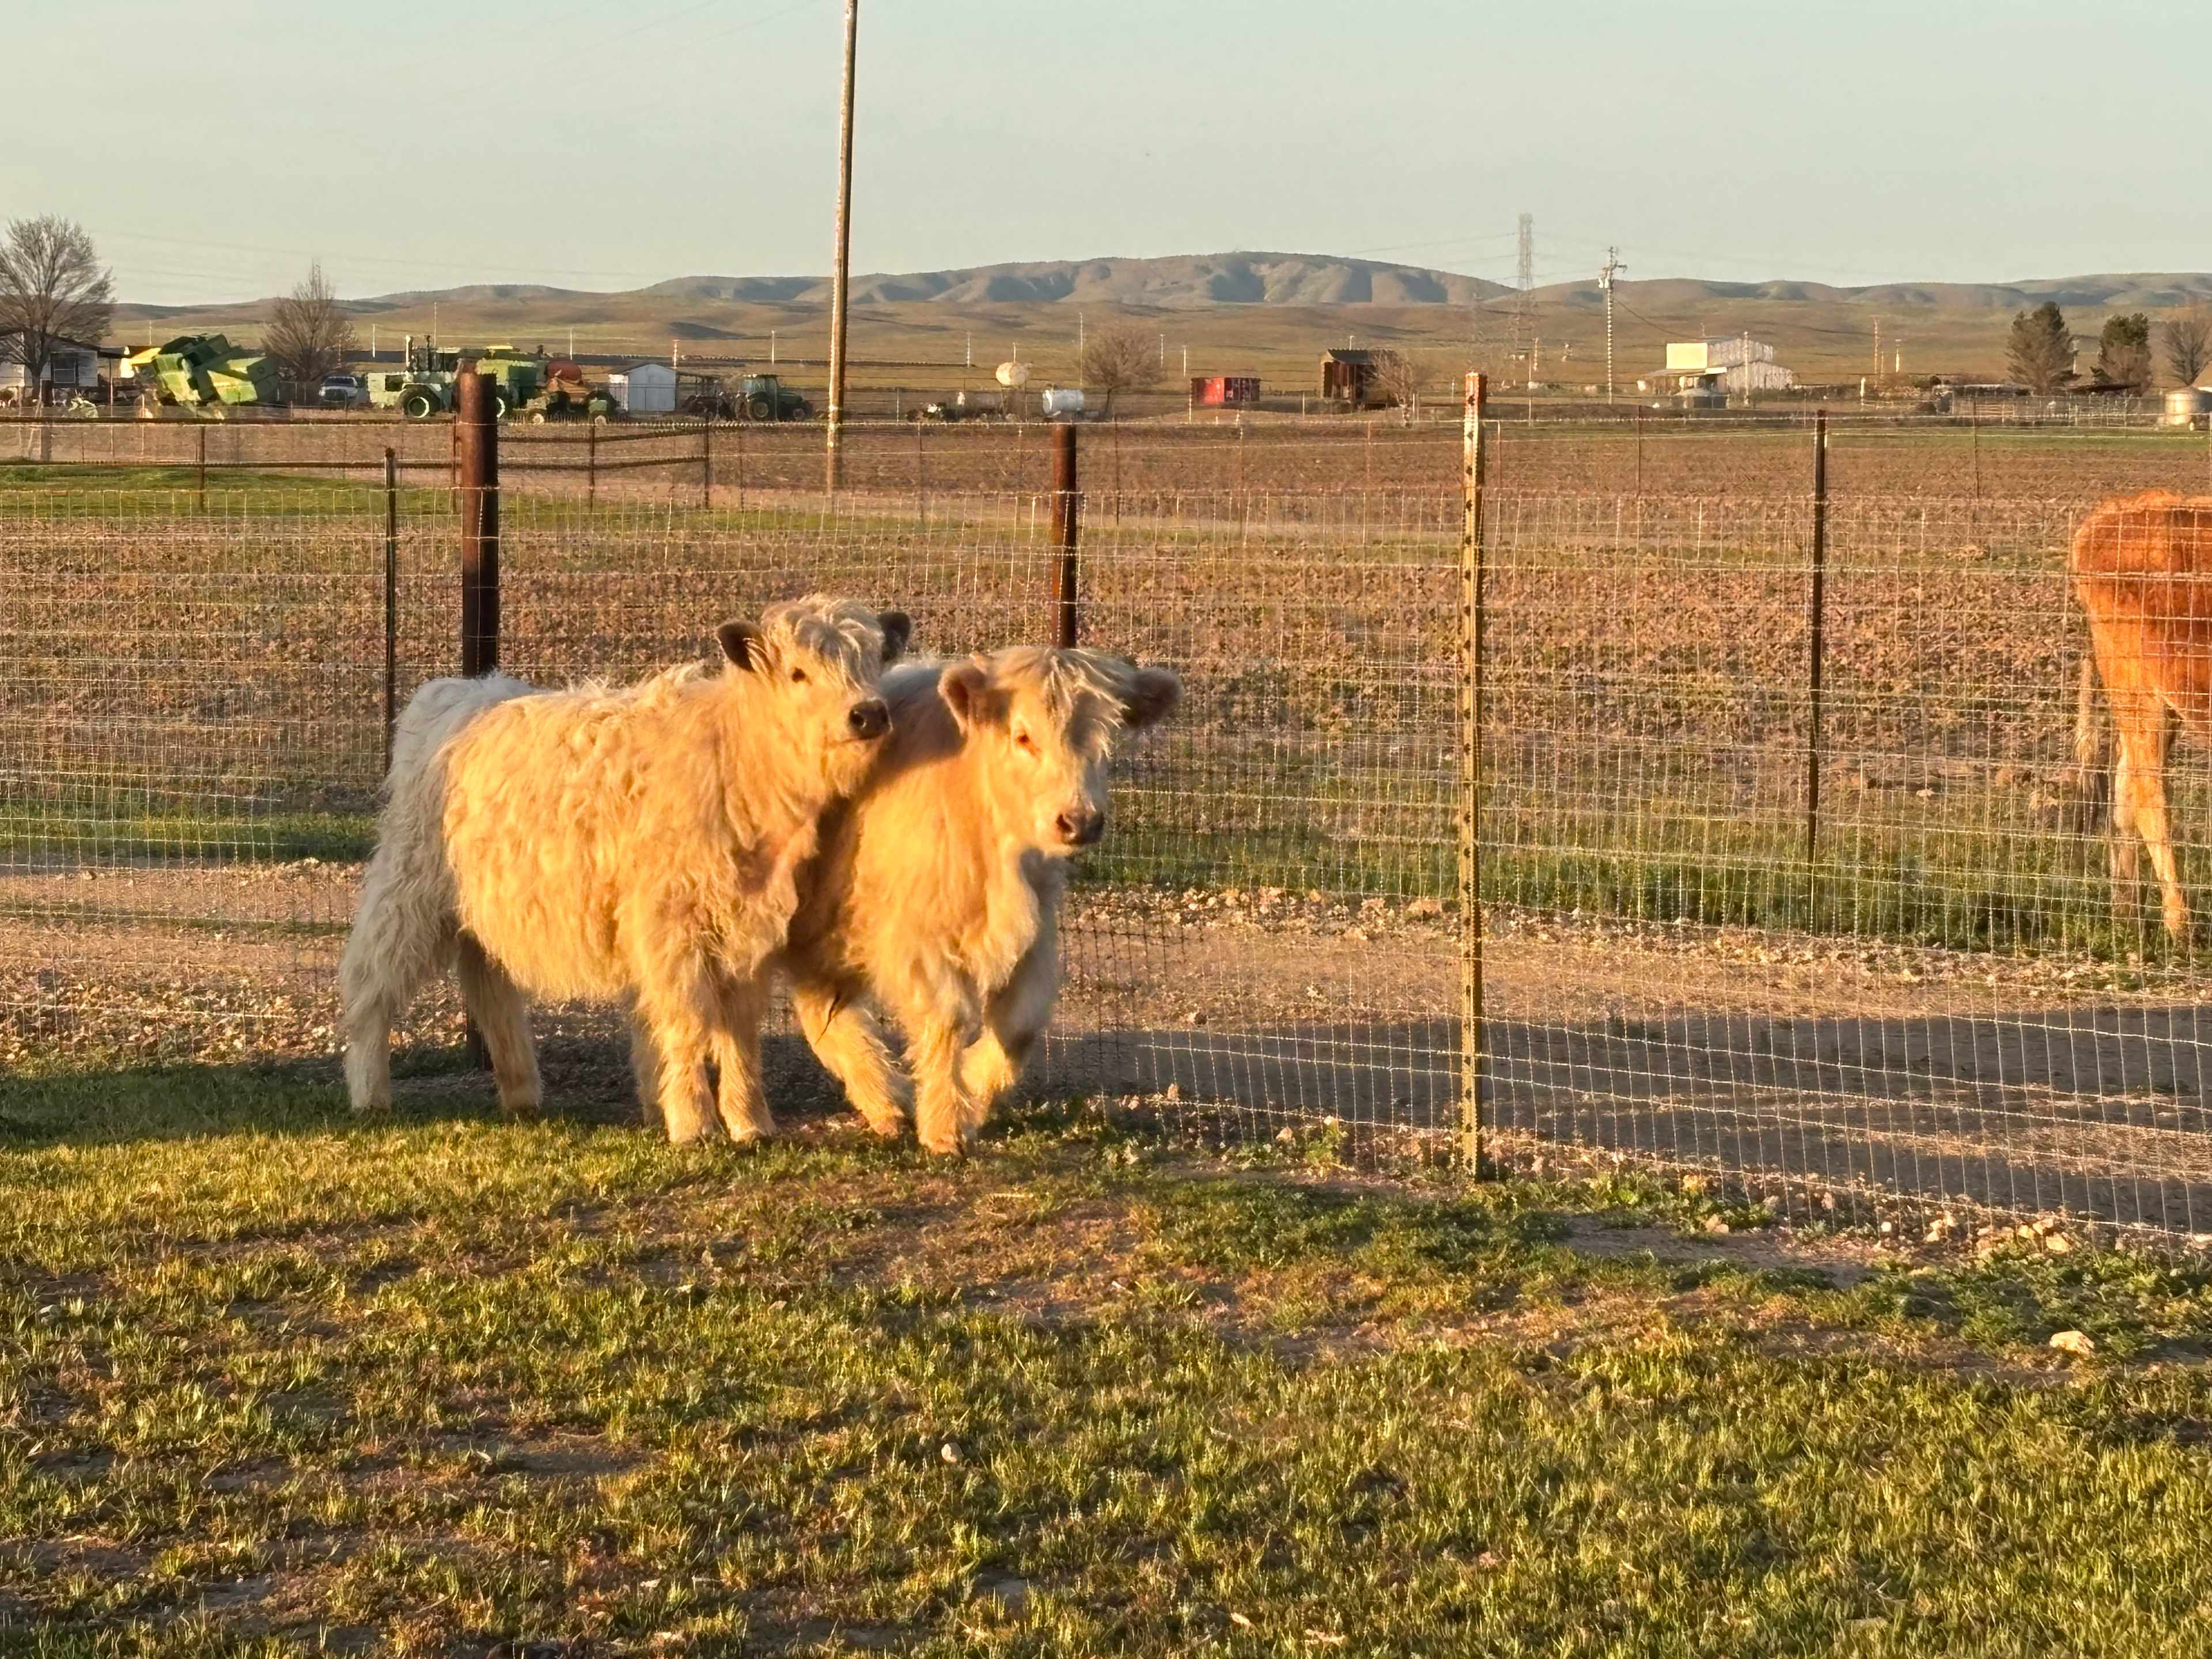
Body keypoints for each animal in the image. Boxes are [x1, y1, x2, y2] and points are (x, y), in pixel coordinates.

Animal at [338, 596, 910, 1142]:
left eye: (874, 662)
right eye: (798, 673)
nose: (868, 714)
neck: (735, 762)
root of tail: (460, 693)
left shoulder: (748, 934)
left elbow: (740, 1034)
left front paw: (751, 1122)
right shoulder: (671, 928)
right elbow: (688, 1021)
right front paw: (694, 1123)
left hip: (485, 908)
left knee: (492, 989)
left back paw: (522, 1094)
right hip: (408, 890)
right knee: (371, 984)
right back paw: (370, 1094)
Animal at [777, 646, 1182, 1154]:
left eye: (1106, 742)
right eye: (1023, 736)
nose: (1079, 822)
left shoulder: (1035, 933)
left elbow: (1020, 1025)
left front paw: (972, 1091)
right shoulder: (916, 937)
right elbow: (947, 1019)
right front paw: (945, 1125)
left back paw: (884, 1101)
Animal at [2070, 490, 2212, 937]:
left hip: (2163, 702)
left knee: (2124, 786)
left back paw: (2126, 905)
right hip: (2136, 689)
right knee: (2149, 794)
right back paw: (2178, 921)